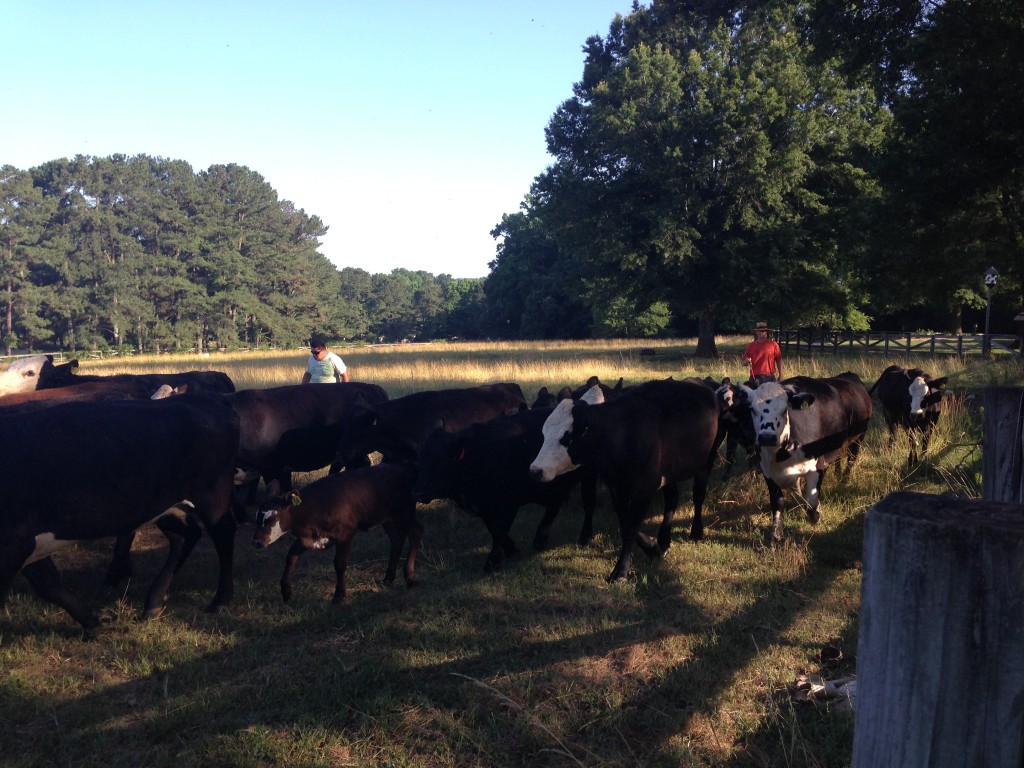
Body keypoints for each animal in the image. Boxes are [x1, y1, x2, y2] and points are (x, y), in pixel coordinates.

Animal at [0, 393, 238, 634]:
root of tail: (204, 398)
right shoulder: (27, 540)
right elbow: (48, 584)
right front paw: (92, 624)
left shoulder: (14, 543)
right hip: (161, 504)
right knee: (185, 536)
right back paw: (153, 602)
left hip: (211, 494)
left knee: (223, 534)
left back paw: (220, 600)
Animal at [253, 460, 421, 606]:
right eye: (257, 517)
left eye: (271, 518)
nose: (257, 542)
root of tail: (406, 466)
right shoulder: (307, 538)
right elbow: (290, 557)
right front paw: (286, 592)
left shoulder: (345, 533)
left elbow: (340, 563)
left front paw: (339, 596)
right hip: (387, 518)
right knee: (397, 539)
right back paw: (388, 578)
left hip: (406, 512)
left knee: (415, 532)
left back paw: (409, 576)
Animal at [409, 411, 598, 573]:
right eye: (420, 459)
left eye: (441, 462)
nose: (417, 493)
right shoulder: (483, 507)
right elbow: (494, 530)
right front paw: (510, 549)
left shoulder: (509, 503)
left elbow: (499, 531)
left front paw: (492, 562)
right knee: (554, 506)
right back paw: (540, 538)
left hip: (589, 475)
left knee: (588, 504)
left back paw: (584, 537)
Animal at [737, 372, 872, 540]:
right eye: (752, 409)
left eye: (784, 409)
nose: (767, 437)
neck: (780, 455)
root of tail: (849, 375)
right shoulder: (768, 472)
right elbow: (778, 501)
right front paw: (776, 532)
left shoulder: (816, 466)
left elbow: (812, 500)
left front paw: (815, 515)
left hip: (858, 438)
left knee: (851, 460)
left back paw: (845, 479)